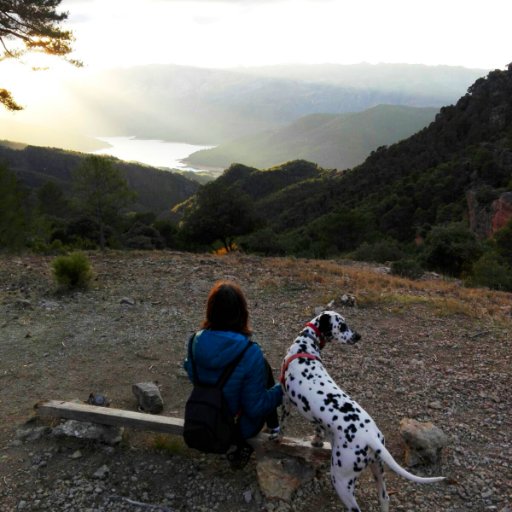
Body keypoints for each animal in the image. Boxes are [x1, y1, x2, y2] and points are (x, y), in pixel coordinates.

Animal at [280, 310, 444, 510]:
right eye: (342, 326)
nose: (358, 336)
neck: (305, 347)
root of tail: (371, 437)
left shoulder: (285, 397)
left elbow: (281, 423)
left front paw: (277, 437)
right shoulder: (315, 418)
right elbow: (317, 430)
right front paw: (316, 441)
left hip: (341, 480)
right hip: (377, 469)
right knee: (384, 498)